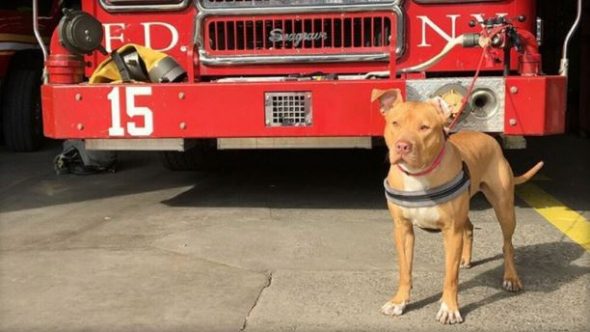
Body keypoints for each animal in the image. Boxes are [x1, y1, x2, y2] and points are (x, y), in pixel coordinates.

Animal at [374, 88, 544, 324]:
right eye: (395, 123)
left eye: (424, 127)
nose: (402, 146)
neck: (419, 175)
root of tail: (487, 137)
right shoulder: (403, 228)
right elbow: (405, 270)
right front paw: (399, 302)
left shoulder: (451, 231)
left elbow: (450, 276)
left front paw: (449, 308)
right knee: (470, 227)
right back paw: (466, 259)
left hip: (504, 208)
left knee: (507, 244)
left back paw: (511, 278)